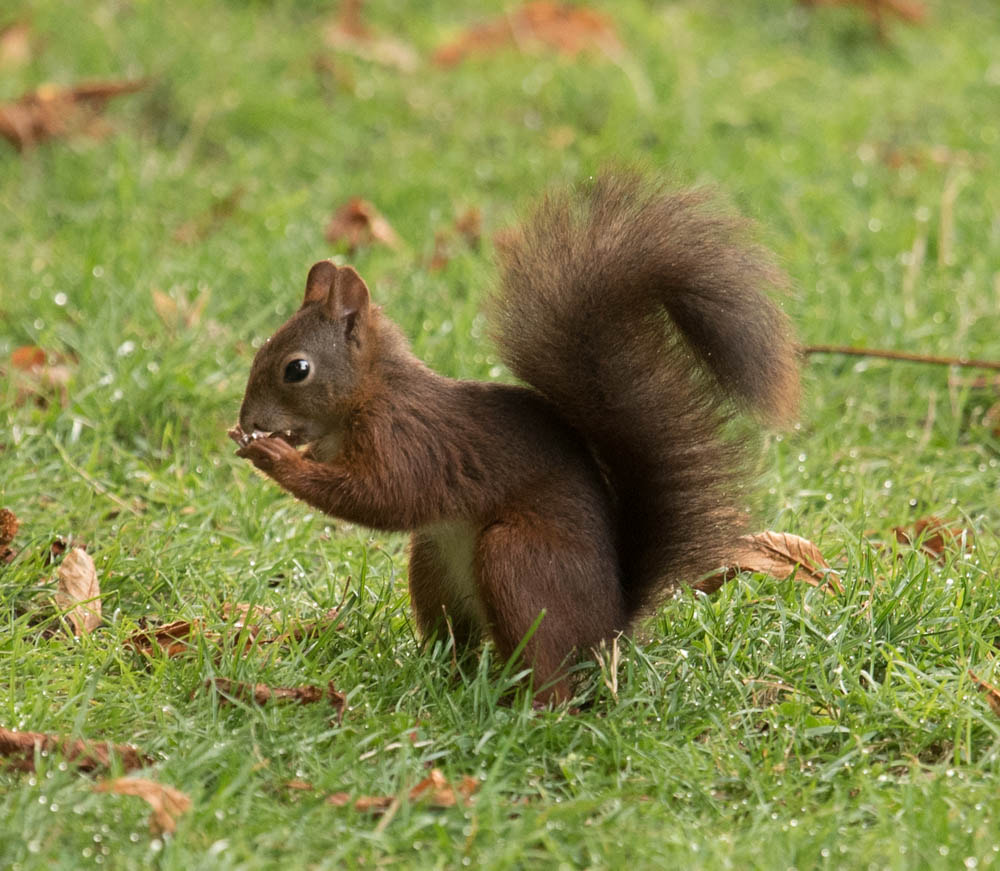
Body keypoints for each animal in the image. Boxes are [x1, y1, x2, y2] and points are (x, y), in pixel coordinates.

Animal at [229, 170, 800, 704]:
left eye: (296, 369)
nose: (248, 417)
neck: (371, 394)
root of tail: (609, 626)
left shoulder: (410, 440)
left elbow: (381, 498)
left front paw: (275, 456)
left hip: (516, 561)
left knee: (548, 673)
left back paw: (525, 704)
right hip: (434, 566)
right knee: (460, 643)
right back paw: (442, 682)